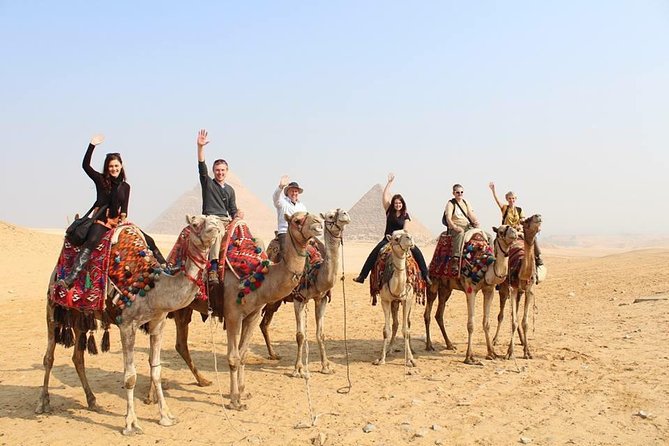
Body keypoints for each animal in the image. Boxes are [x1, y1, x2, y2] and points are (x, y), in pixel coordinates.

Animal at [35, 215, 220, 435]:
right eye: (195, 223)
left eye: (214, 220)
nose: (216, 226)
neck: (153, 289)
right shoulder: (127, 325)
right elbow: (130, 377)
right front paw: (131, 424)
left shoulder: (158, 323)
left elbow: (156, 370)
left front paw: (166, 416)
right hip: (52, 307)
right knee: (49, 357)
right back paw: (43, 403)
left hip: (81, 316)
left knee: (78, 357)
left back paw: (92, 401)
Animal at [259, 208, 351, 378]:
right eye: (330, 216)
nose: (344, 214)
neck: (315, 271)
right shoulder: (299, 299)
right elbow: (300, 335)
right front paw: (298, 369)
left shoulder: (321, 299)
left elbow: (321, 334)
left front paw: (326, 366)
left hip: (275, 301)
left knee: (264, 323)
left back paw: (273, 354)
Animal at [373, 229, 419, 367]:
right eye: (396, 238)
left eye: (407, 233)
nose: (410, 238)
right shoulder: (385, 300)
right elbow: (386, 330)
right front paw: (381, 359)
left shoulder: (407, 300)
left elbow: (406, 330)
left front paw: (410, 360)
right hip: (394, 302)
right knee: (395, 324)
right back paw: (390, 349)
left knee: (407, 323)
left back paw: (412, 349)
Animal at [423, 225, 518, 364]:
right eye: (501, 231)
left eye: (512, 228)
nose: (514, 231)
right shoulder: (470, 290)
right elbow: (471, 324)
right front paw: (470, 357)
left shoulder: (489, 290)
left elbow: (486, 323)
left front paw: (491, 353)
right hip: (433, 282)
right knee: (428, 313)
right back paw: (429, 345)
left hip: (446, 289)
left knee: (439, 314)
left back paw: (450, 344)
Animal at [491, 214, 543, 360]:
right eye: (528, 220)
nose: (538, 216)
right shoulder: (512, 290)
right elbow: (512, 321)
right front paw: (510, 353)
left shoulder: (529, 291)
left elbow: (524, 322)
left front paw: (527, 352)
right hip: (504, 290)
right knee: (501, 315)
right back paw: (495, 340)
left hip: (520, 292)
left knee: (517, 316)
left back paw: (522, 340)